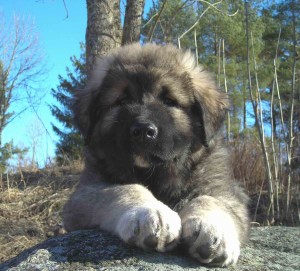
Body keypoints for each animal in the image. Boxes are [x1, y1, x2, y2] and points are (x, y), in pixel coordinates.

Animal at [62, 43, 248, 266]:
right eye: (121, 100)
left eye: (168, 100)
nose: (143, 130)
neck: (156, 172)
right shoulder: (86, 191)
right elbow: (124, 189)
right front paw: (150, 213)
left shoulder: (223, 188)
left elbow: (211, 200)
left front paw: (213, 230)